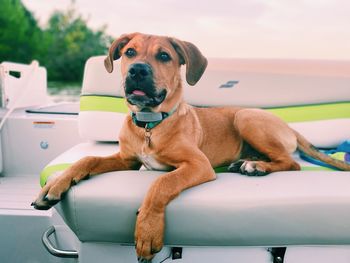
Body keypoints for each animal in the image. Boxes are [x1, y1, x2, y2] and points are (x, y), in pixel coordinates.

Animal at [33, 32, 350, 260]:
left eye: (164, 56)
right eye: (130, 52)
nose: (137, 70)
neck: (150, 125)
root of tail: (289, 127)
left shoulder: (198, 164)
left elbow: (160, 184)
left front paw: (147, 230)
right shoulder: (127, 159)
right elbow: (87, 159)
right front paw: (55, 186)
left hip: (246, 117)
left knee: (291, 162)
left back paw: (255, 166)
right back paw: (246, 162)